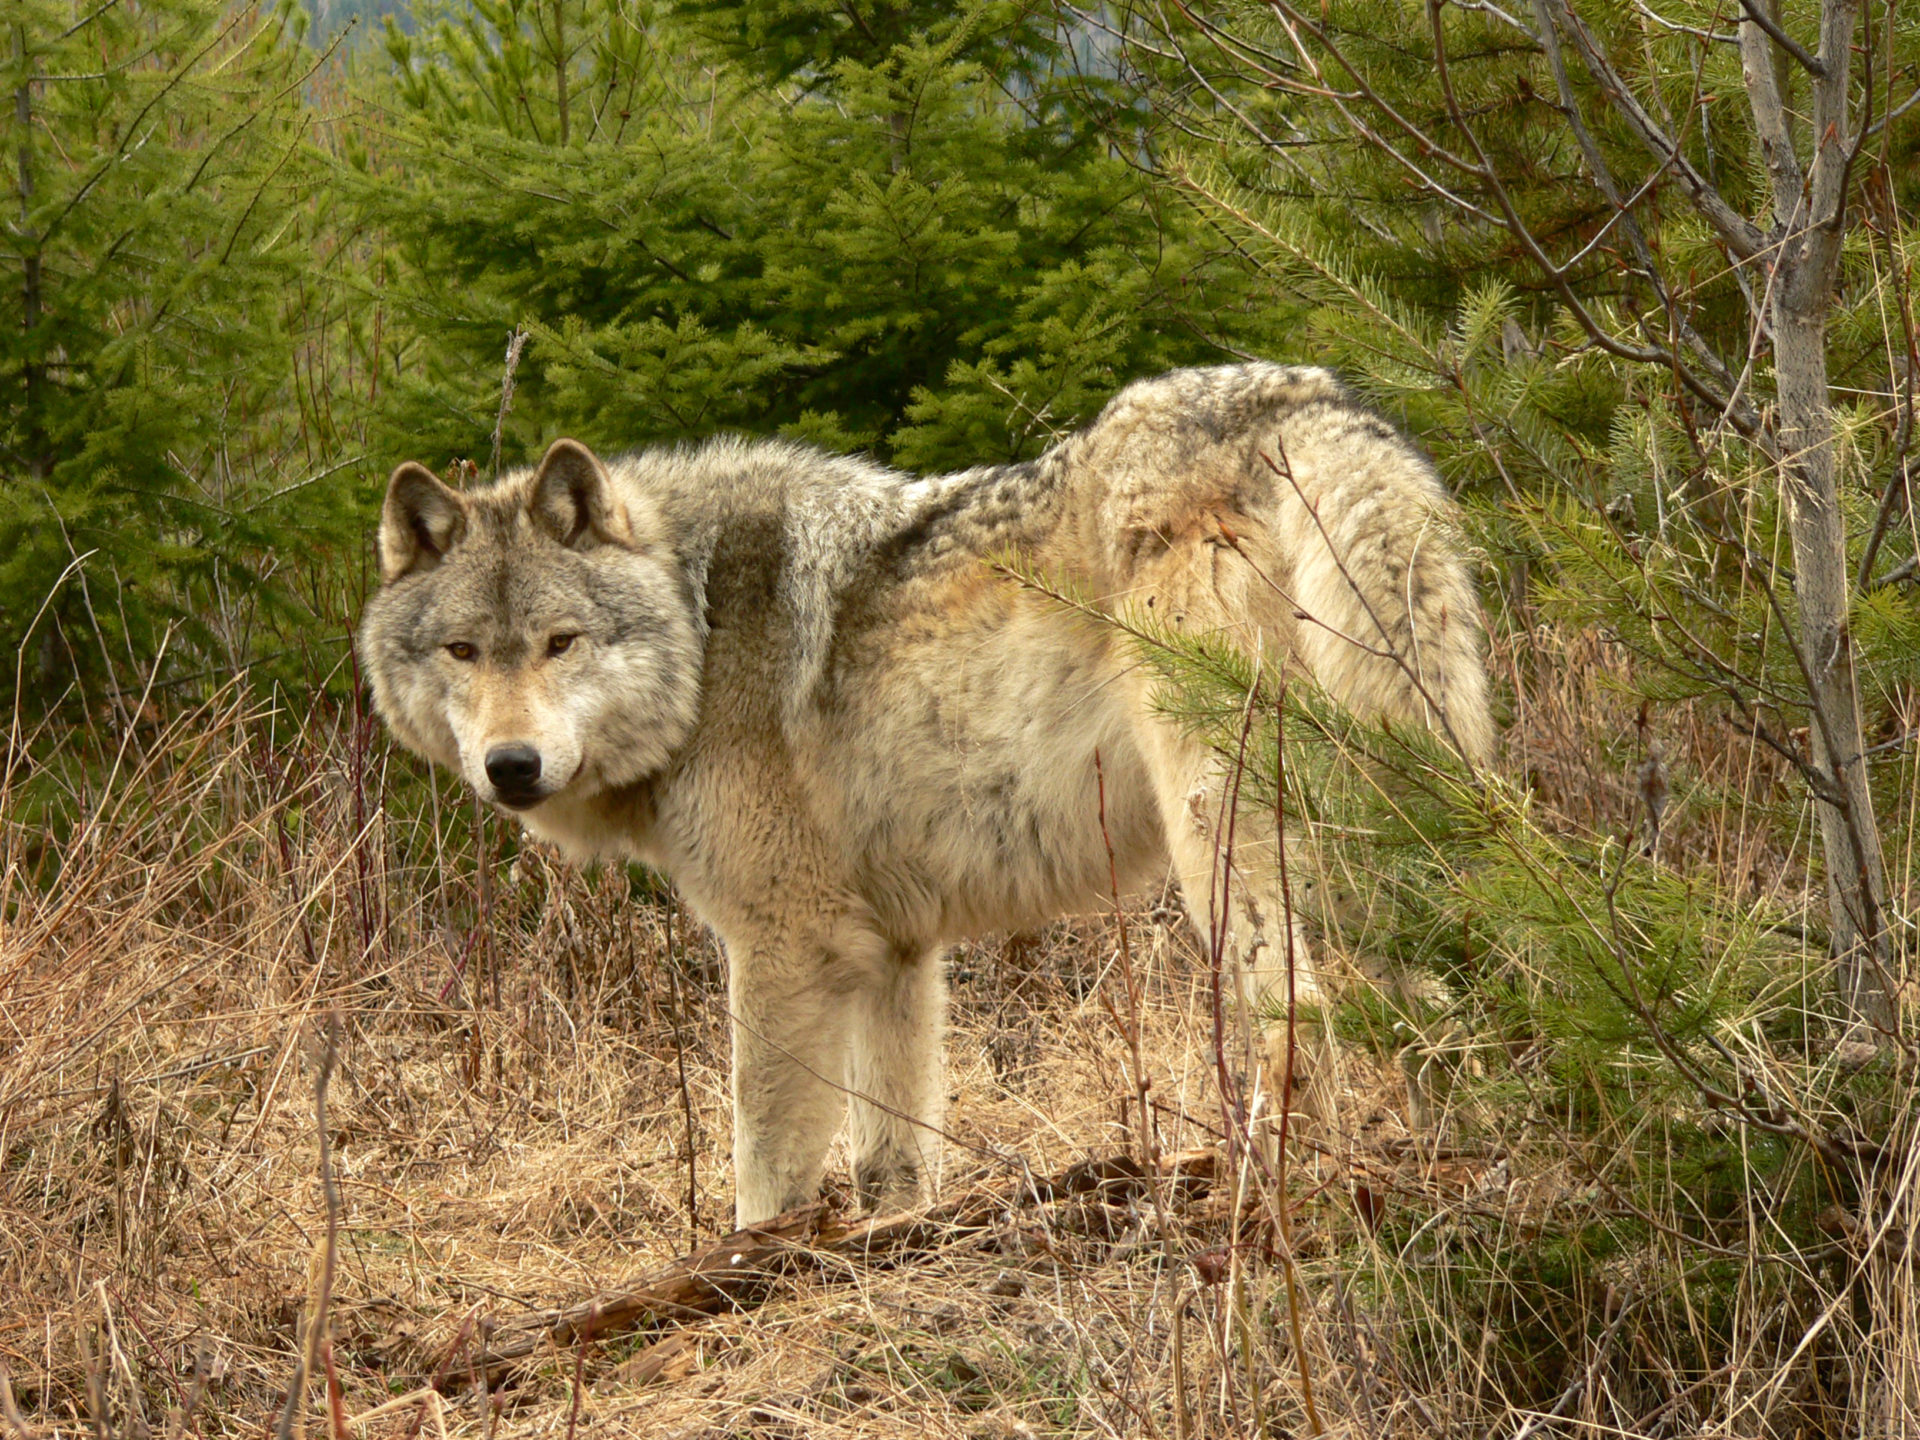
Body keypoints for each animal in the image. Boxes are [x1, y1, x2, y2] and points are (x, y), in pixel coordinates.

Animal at [360, 362, 1497, 1228]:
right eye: (464, 651)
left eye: (562, 643)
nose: (510, 766)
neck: (701, 627)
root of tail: (1301, 398)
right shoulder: (892, 953)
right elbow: (895, 1160)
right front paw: (892, 1245)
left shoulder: (788, 946)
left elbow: (763, 1173)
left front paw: (744, 1275)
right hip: (1386, 826)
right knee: (1433, 995)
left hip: (1220, 843)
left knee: (1302, 1012)